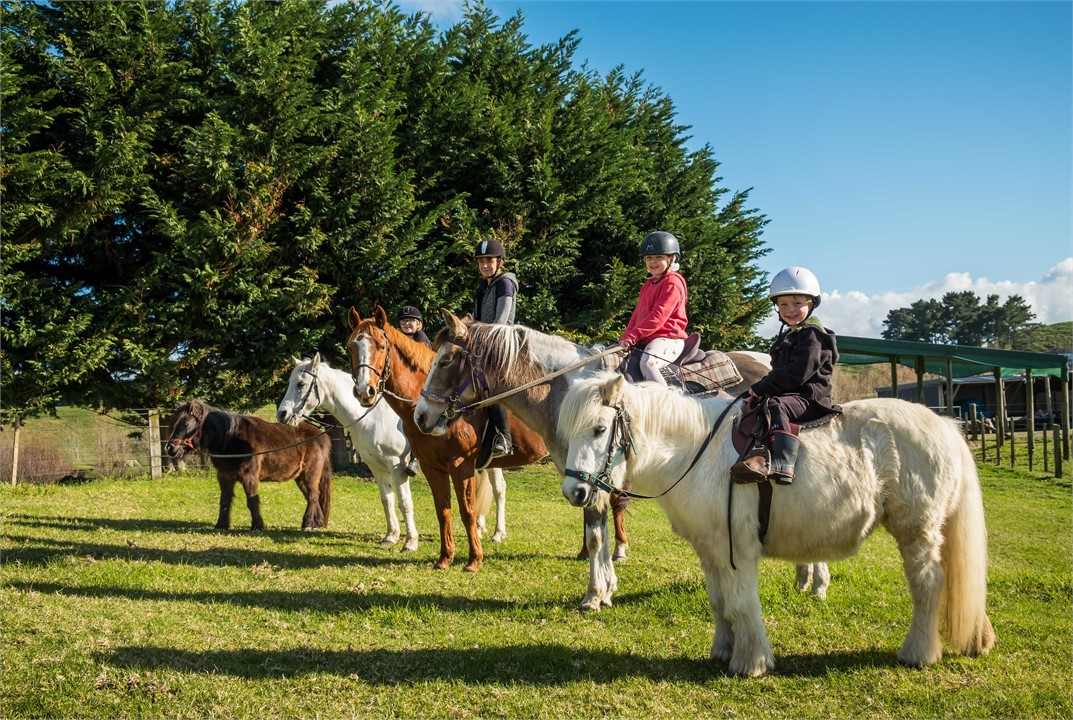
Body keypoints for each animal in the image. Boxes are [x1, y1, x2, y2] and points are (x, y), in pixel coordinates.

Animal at [165, 399, 333, 531]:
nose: (170, 448)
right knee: (312, 497)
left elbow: (252, 501)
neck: (231, 438)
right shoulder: (224, 476)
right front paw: (221, 525)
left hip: (310, 474)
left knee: (313, 495)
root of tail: (321, 436)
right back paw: (316, 523)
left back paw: (307, 524)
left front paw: (257, 525)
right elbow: (224, 500)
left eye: (186, 423)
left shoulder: (249, 476)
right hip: (300, 477)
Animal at [276, 353, 420, 551]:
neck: (372, 416)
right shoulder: (376, 466)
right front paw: (390, 537)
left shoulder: (397, 466)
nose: (282, 414)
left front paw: (410, 542)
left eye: (300, 384)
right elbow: (387, 500)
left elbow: (405, 502)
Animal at [346, 305, 549, 574]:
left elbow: (467, 510)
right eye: (350, 347)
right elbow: (443, 511)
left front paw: (474, 560)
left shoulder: (460, 464)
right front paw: (445, 558)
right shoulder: (432, 467)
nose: (364, 391)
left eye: (380, 346)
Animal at [413, 311, 829, 609]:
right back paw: (805, 576)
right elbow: (596, 529)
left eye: (446, 360)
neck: (566, 389)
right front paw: (606, 586)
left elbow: (596, 533)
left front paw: (595, 594)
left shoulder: (595, 475)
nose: (420, 416)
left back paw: (817, 581)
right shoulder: (583, 476)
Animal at [557, 373, 995, 677]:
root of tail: (946, 427)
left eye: (599, 429)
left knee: (928, 584)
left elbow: (741, 603)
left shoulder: (736, 548)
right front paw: (723, 649)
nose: (575, 492)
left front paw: (750, 662)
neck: (696, 452)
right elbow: (719, 602)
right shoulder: (711, 549)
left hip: (916, 531)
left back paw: (917, 652)